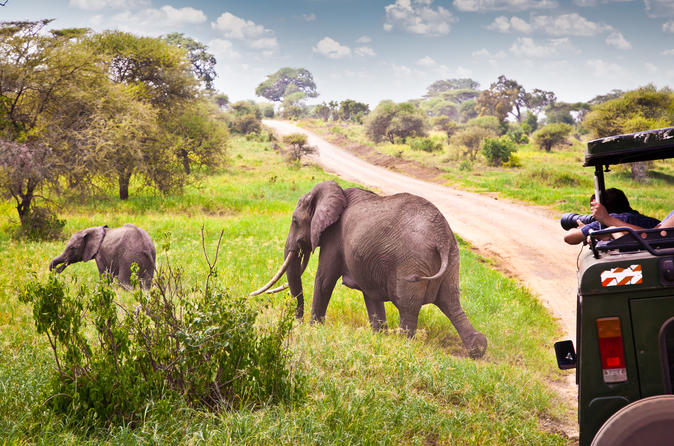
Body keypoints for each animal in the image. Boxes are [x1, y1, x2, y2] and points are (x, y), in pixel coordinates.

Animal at [249, 181, 486, 358]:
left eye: (295, 221)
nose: (296, 321)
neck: (336, 193)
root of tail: (441, 237)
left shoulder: (335, 238)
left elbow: (324, 280)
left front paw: (313, 328)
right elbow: (370, 295)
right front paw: (379, 336)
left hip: (412, 262)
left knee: (409, 306)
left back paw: (403, 345)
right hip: (453, 260)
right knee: (451, 302)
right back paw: (478, 348)